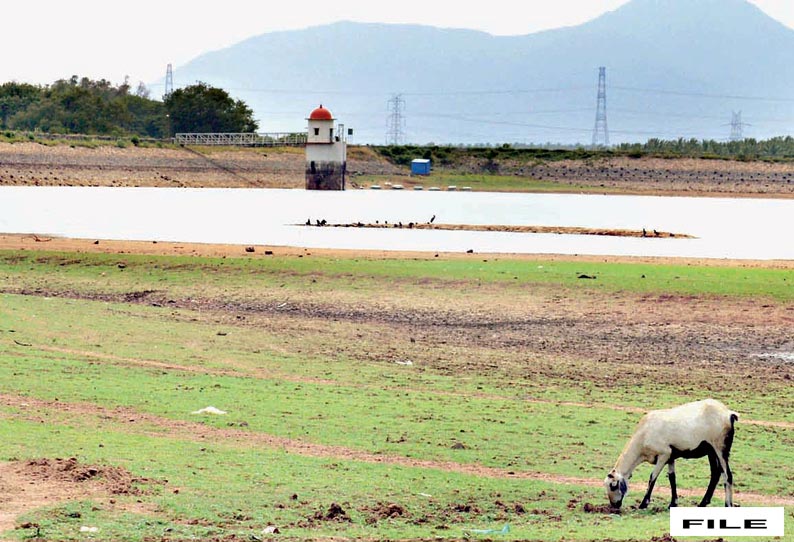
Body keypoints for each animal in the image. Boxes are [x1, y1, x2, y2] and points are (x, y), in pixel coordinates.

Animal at [608, 400, 736, 510]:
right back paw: (702, 503)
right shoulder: (671, 456)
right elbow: (672, 478)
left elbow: (652, 477)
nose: (614, 505)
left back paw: (727, 505)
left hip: (720, 448)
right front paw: (673, 503)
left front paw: (643, 504)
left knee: (727, 475)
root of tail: (729, 413)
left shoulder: (664, 454)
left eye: (613, 485)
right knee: (715, 474)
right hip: (711, 451)